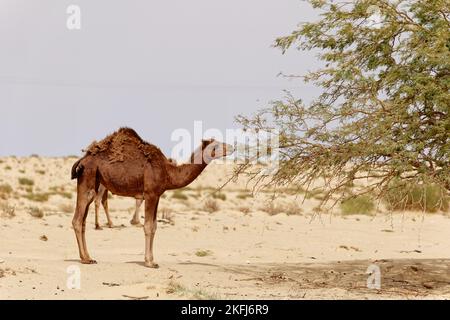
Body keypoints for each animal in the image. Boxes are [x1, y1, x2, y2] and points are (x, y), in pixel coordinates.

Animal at [72, 127, 234, 268]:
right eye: (217, 145)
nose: (232, 147)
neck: (168, 172)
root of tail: (82, 160)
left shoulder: (157, 195)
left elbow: (155, 226)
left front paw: (150, 259)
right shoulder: (150, 194)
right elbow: (148, 226)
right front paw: (150, 262)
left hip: (94, 180)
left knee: (83, 219)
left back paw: (87, 257)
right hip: (88, 177)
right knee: (78, 218)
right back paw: (86, 258)